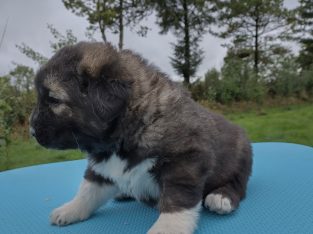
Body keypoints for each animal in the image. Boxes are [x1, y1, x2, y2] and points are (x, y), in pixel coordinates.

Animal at [29, 42, 251, 234]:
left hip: (241, 156)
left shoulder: (186, 160)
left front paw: (167, 228)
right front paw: (71, 209)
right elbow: (88, 190)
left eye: (54, 100)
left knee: (239, 184)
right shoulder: (101, 165)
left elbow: (177, 198)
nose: (31, 130)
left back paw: (221, 197)